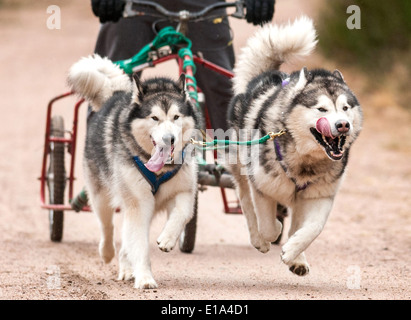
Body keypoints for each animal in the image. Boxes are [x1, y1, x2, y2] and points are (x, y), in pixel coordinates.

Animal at [68, 53, 203, 288]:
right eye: (154, 118)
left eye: (176, 117)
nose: (169, 139)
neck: (160, 169)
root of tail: (113, 95)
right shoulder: (139, 203)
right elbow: (138, 244)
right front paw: (145, 278)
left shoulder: (184, 190)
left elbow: (183, 213)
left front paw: (167, 238)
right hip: (102, 195)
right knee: (107, 226)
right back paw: (108, 253)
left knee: (125, 240)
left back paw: (126, 266)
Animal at [229, 16, 364, 276]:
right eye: (321, 109)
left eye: (345, 108)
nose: (343, 125)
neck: (305, 160)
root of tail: (268, 75)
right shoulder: (262, 187)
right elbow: (267, 224)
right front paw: (271, 234)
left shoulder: (320, 196)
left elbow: (313, 229)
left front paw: (293, 252)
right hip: (240, 168)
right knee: (246, 203)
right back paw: (259, 239)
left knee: (296, 224)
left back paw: (297, 258)